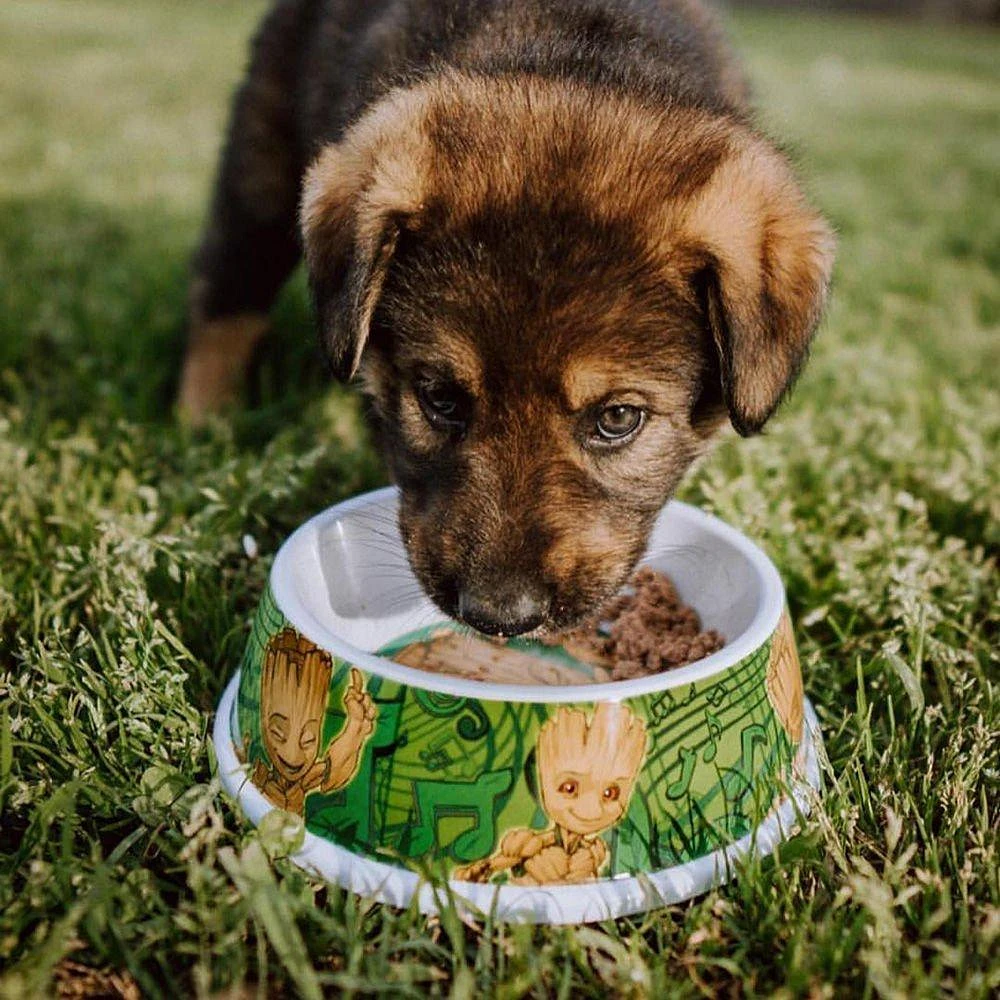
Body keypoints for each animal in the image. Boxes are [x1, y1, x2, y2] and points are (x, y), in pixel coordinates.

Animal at [182, 0, 836, 636]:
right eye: (439, 398)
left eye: (618, 418)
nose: (500, 617)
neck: (578, 57)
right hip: (261, 160)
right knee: (225, 298)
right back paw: (201, 428)